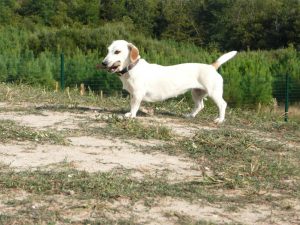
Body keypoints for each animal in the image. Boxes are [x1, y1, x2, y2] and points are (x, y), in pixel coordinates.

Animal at [103, 39, 237, 122]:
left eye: (117, 52)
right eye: (108, 50)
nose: (103, 63)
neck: (132, 68)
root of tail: (211, 66)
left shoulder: (137, 94)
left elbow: (134, 106)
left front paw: (131, 115)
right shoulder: (132, 94)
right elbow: (131, 105)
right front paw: (130, 113)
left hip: (214, 93)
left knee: (222, 104)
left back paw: (220, 120)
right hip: (196, 93)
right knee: (200, 106)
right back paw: (190, 115)